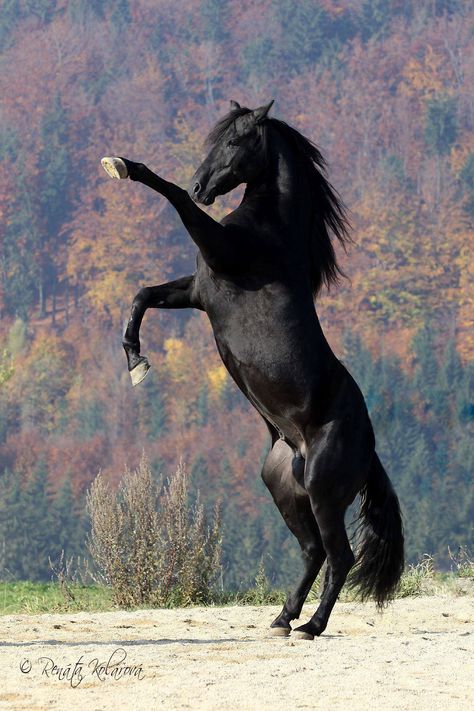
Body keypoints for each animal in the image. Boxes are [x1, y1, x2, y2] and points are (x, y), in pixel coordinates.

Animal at [101, 100, 404, 640]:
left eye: (235, 140)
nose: (201, 184)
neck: (271, 232)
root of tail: (368, 449)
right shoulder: (198, 291)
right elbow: (142, 295)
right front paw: (136, 362)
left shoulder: (219, 254)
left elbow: (173, 200)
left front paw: (124, 166)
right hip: (284, 486)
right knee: (313, 551)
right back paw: (282, 619)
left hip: (324, 492)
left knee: (340, 555)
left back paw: (311, 627)